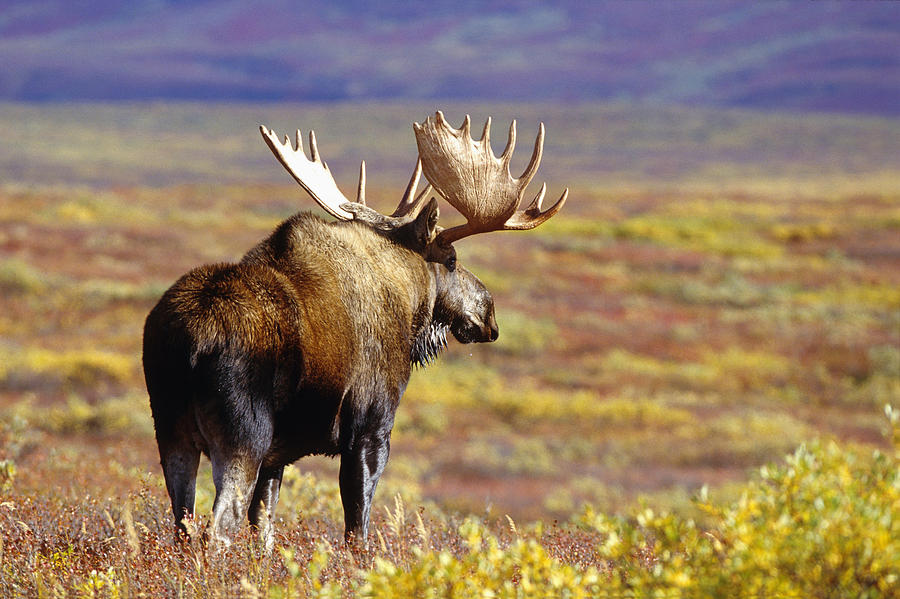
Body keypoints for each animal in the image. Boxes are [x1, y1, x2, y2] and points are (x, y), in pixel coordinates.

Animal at [143, 110, 568, 552]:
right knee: (219, 528)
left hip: (171, 432)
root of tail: (190, 343)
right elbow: (357, 531)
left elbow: (265, 528)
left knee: (183, 525)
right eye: (451, 260)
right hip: (243, 436)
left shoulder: (278, 456)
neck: (408, 305)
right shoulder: (371, 429)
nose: (490, 315)